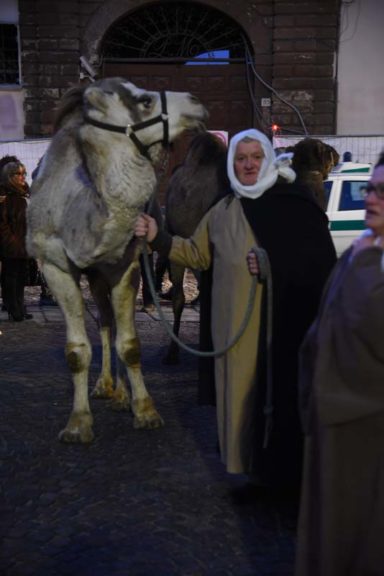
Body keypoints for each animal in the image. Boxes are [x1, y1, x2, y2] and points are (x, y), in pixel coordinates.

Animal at [26, 77, 207, 446]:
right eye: (144, 101)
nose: (196, 102)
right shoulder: (54, 266)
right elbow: (77, 350)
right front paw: (78, 424)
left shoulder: (125, 264)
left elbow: (131, 343)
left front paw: (145, 411)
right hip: (91, 277)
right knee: (105, 322)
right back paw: (103, 386)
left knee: (114, 323)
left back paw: (121, 394)